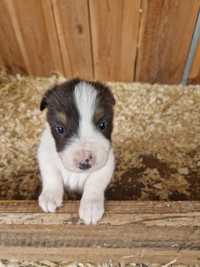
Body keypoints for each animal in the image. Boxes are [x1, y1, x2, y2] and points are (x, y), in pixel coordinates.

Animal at [37, 78, 115, 225]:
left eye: (102, 125)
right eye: (60, 129)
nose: (84, 161)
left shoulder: (107, 162)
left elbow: (94, 182)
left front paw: (91, 207)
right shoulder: (45, 155)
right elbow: (52, 176)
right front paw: (50, 197)